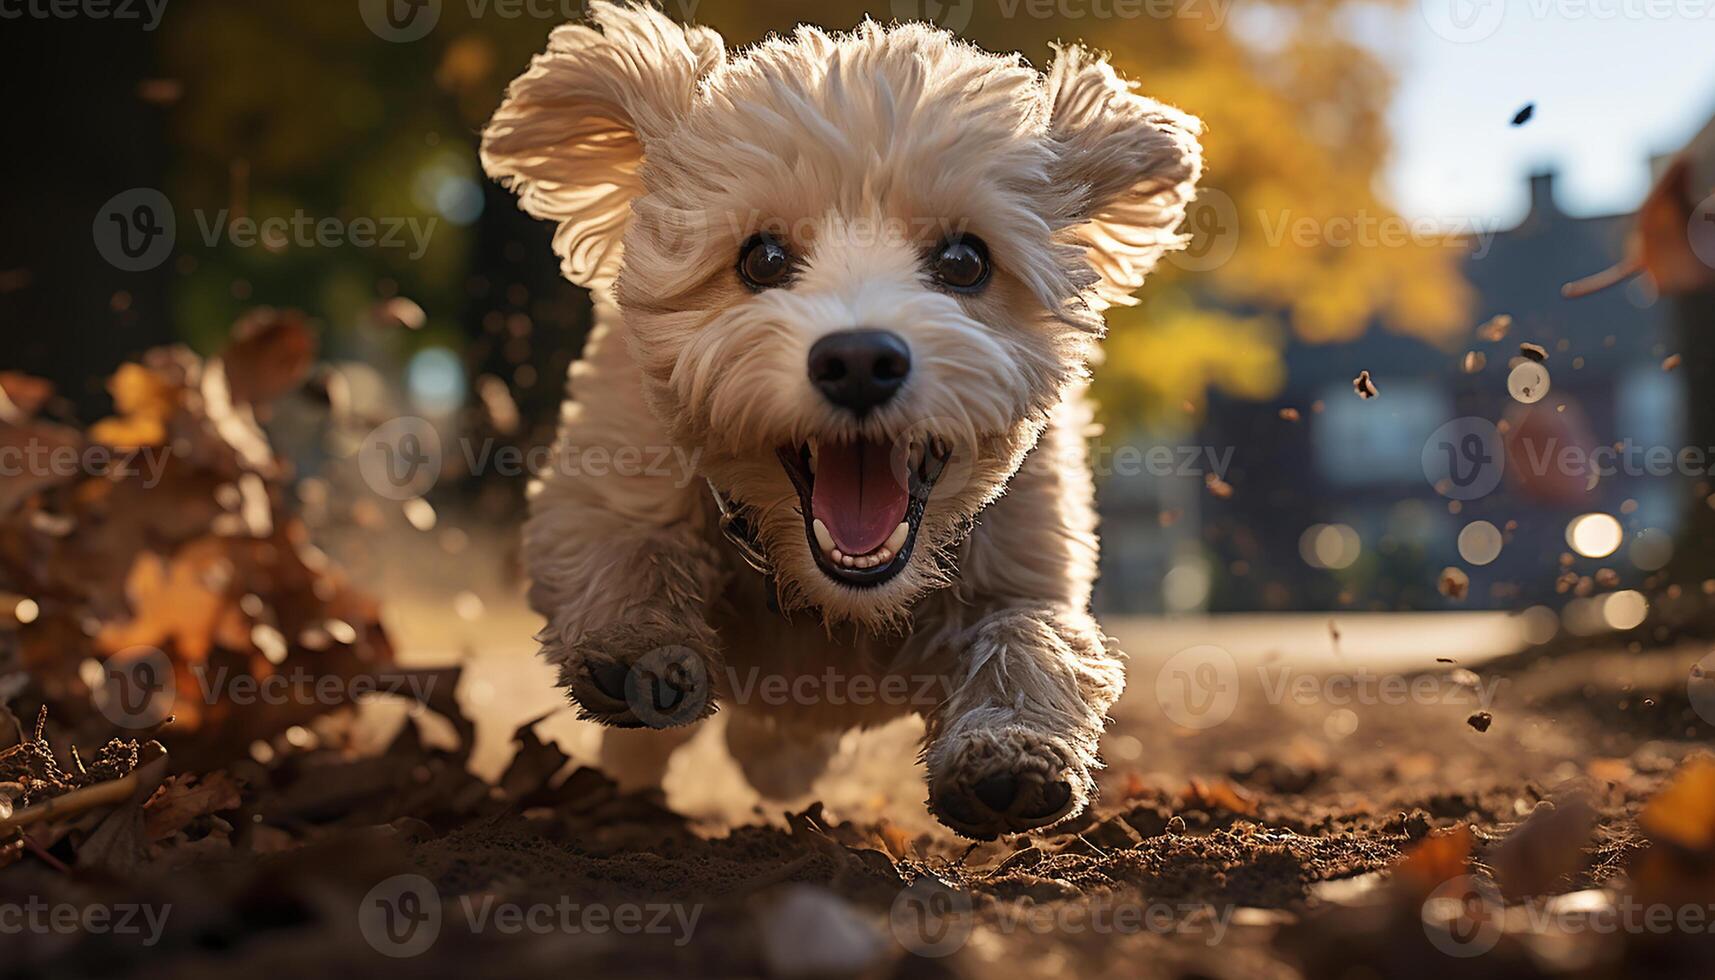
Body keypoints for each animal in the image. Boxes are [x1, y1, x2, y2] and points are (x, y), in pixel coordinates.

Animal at [483, 3, 1207, 840]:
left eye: (965, 261)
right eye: (761, 258)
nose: (859, 360)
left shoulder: (1026, 558)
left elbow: (1031, 635)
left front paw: (1010, 751)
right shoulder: (613, 465)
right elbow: (618, 544)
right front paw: (636, 639)